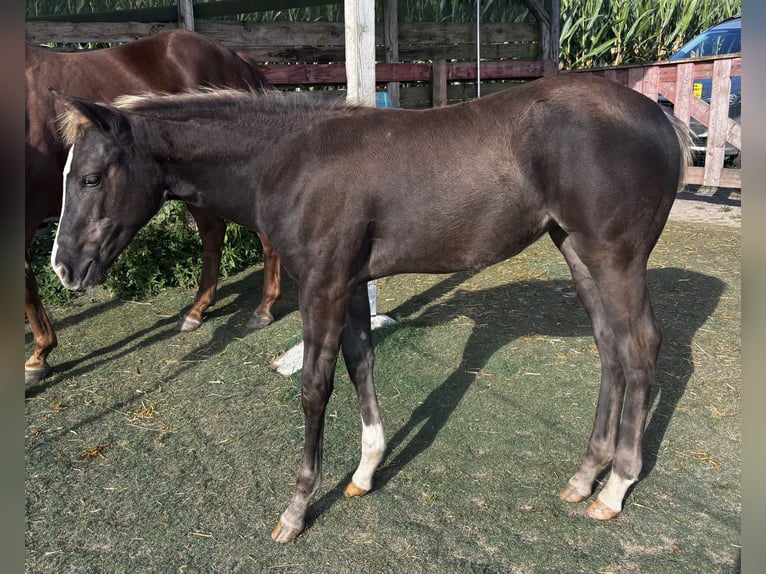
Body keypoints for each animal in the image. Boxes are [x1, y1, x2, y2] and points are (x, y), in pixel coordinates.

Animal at [25, 29, 283, 386]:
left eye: (91, 179)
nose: (62, 268)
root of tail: (237, 59)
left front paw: (38, 357)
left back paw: (263, 309)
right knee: (213, 233)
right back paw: (197, 311)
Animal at [50, 74, 691, 543]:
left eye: (91, 177)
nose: (63, 268)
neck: (287, 160)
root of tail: (658, 115)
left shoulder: (323, 285)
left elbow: (316, 387)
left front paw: (297, 510)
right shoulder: (353, 284)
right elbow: (361, 363)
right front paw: (364, 472)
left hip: (614, 256)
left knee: (640, 348)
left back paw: (616, 487)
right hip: (577, 251)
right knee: (610, 348)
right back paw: (585, 476)